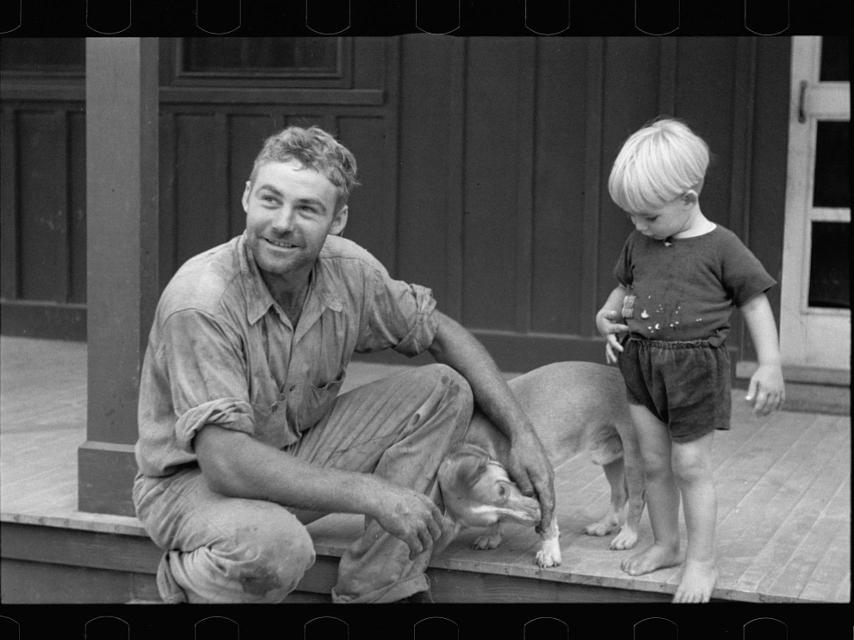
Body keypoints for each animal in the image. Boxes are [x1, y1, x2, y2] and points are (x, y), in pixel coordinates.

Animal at [438, 362, 644, 568]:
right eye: (497, 517)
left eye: (503, 490)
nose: (534, 518)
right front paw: (492, 535)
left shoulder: (540, 479)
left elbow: (549, 522)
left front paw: (549, 550)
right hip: (610, 459)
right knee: (620, 493)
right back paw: (604, 525)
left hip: (633, 459)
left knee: (636, 500)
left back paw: (629, 535)